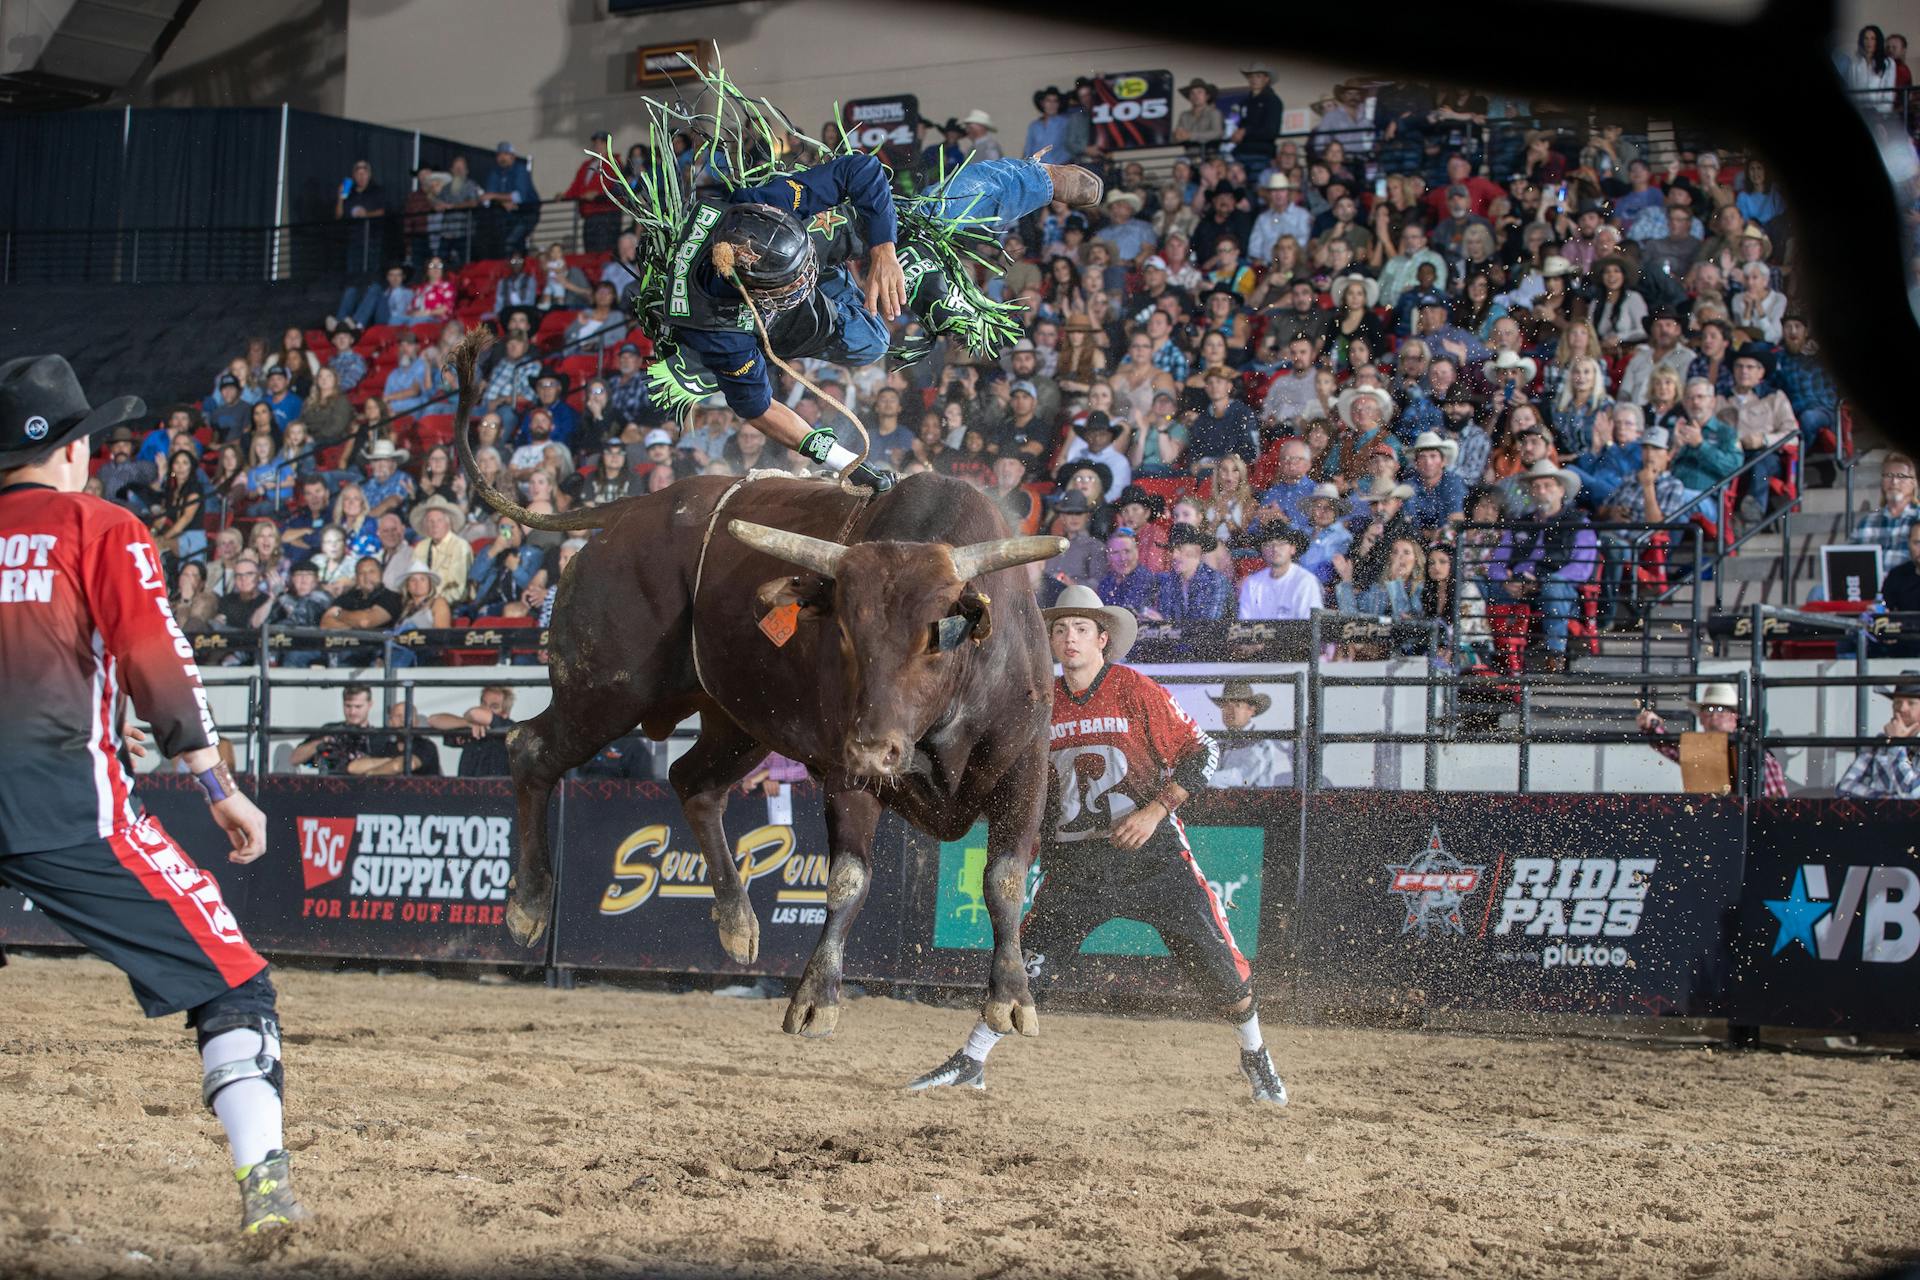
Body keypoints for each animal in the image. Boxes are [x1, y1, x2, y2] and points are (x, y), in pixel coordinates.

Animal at [451, 333, 1067, 1043]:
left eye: (935, 636)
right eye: (845, 633)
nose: (873, 749)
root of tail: (634, 512)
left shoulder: (1026, 762)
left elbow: (1005, 878)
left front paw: (1011, 995)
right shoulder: (845, 770)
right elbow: (848, 880)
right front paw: (817, 994)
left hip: (737, 719)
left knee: (691, 781)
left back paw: (736, 920)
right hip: (606, 688)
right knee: (532, 751)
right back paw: (528, 904)